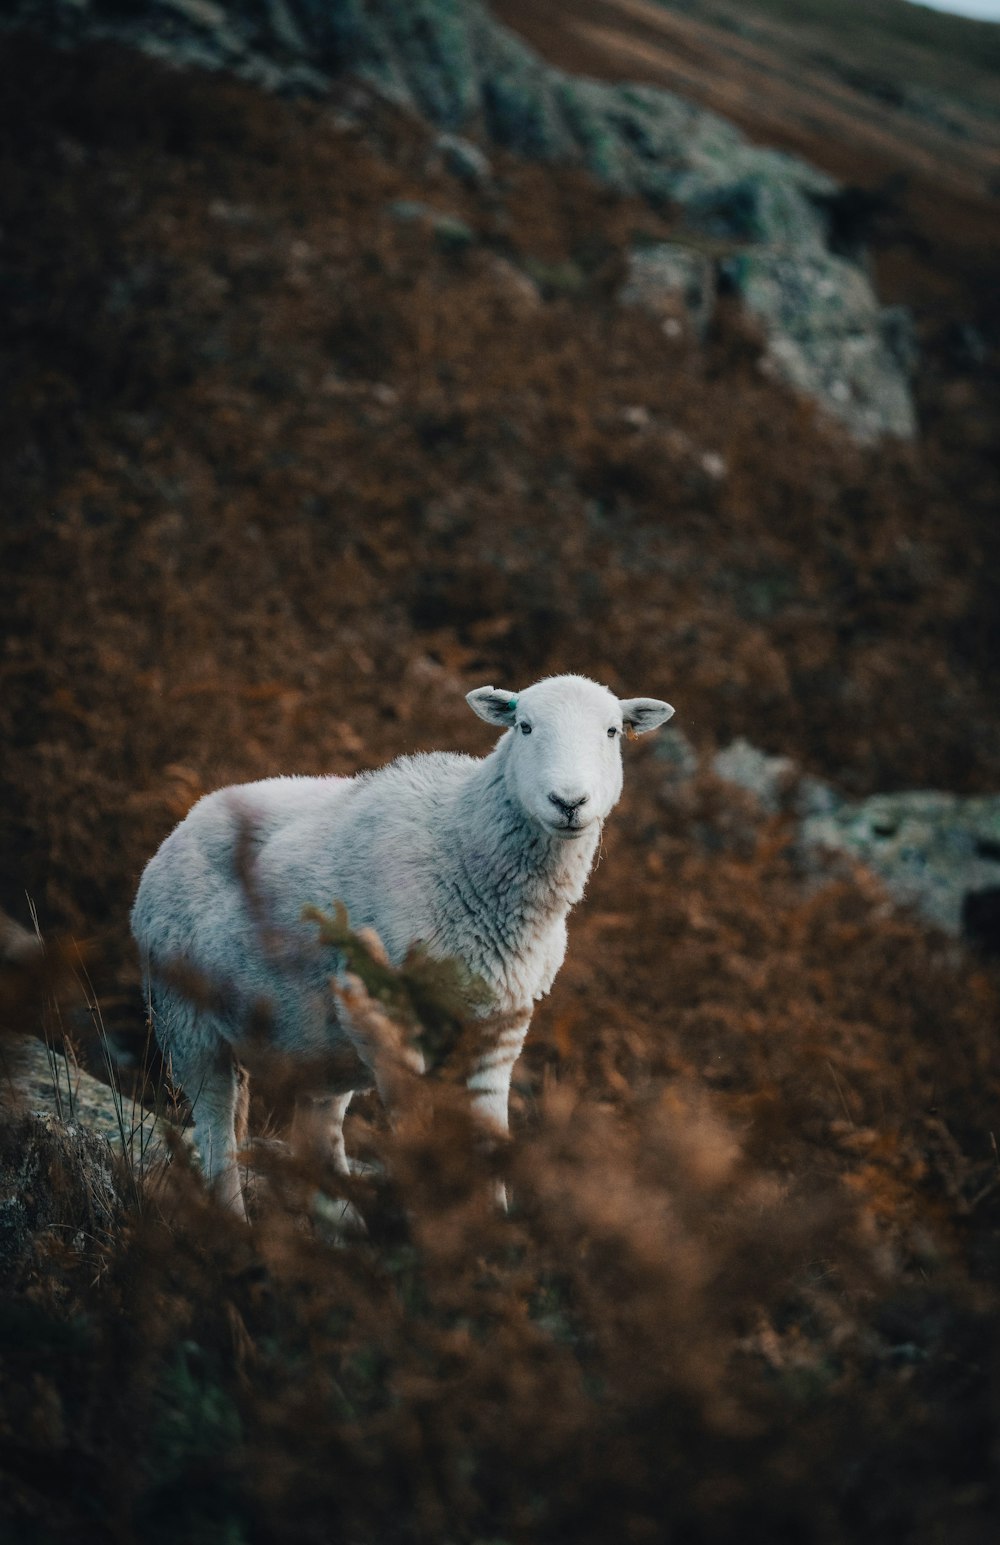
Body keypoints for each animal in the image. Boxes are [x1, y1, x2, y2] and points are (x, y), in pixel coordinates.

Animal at [131, 670, 673, 1211]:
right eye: (524, 726)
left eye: (612, 731)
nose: (569, 803)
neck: (461, 845)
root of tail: (188, 817)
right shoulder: (385, 1014)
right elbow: (414, 1130)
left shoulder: (500, 1023)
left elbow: (489, 1139)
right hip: (187, 1020)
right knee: (217, 1134)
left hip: (316, 1047)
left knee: (318, 1145)